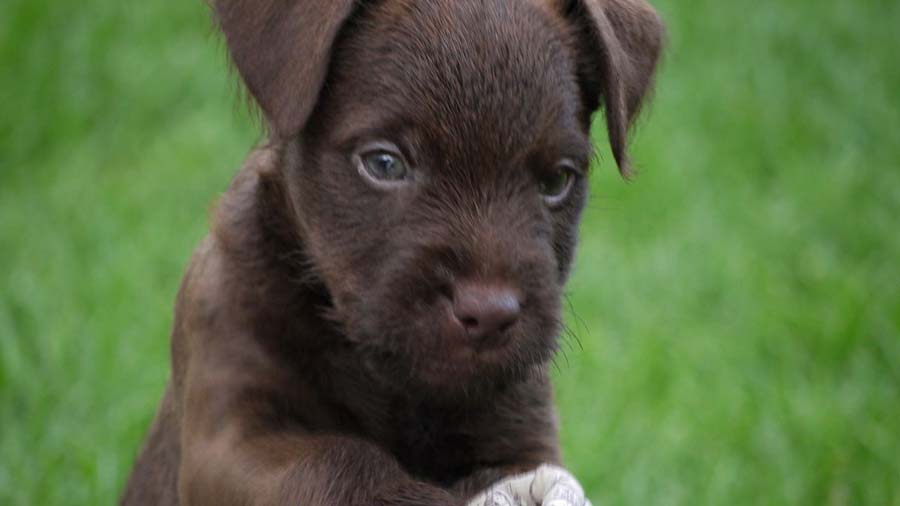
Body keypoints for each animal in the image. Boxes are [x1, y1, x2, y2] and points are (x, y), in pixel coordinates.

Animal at [121, 0, 660, 506]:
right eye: (384, 163)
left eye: (556, 181)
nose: (489, 313)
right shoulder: (229, 431)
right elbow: (335, 461)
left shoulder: (525, 437)